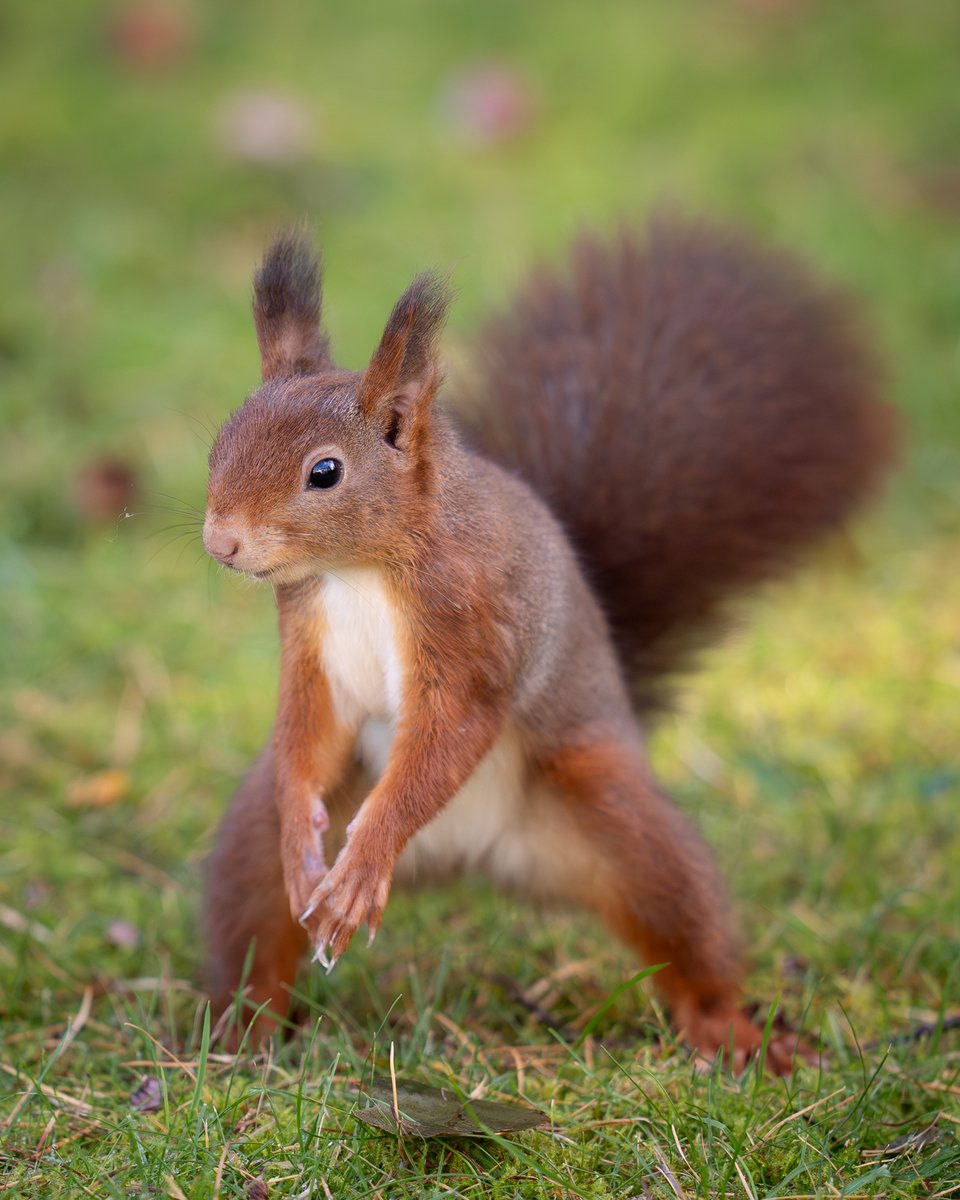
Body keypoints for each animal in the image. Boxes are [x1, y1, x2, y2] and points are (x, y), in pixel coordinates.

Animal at [200, 217, 897, 1072]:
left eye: (324, 472)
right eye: (220, 444)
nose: (222, 541)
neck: (359, 568)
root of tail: (465, 857)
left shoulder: (474, 631)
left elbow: (448, 737)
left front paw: (364, 861)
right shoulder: (310, 642)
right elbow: (305, 731)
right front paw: (306, 842)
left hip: (611, 815)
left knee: (681, 912)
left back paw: (727, 1027)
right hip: (256, 838)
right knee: (256, 916)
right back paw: (243, 1026)